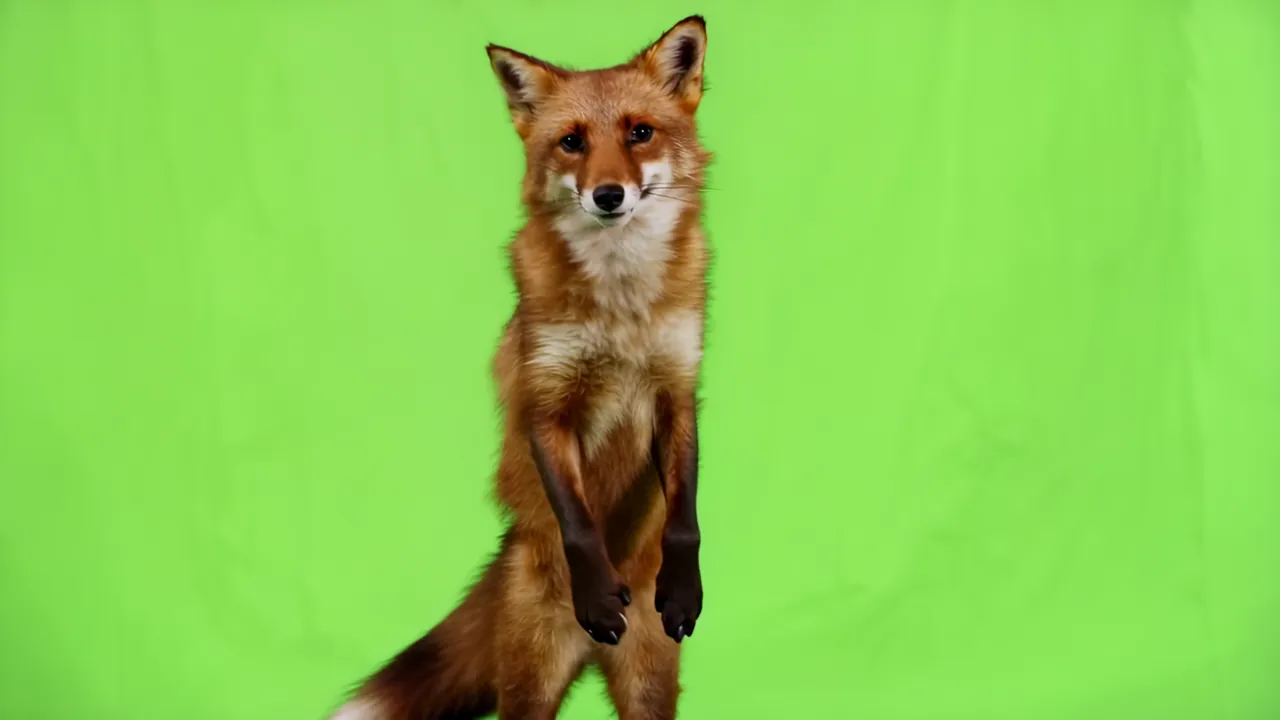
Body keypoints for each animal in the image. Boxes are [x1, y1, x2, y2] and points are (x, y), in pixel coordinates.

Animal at [328, 15, 712, 720]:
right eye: (572, 142)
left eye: (640, 132)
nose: (608, 195)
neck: (621, 309)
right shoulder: (546, 396)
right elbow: (580, 525)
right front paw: (598, 596)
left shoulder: (677, 388)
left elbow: (685, 520)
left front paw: (682, 588)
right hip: (529, 687)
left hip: (649, 690)